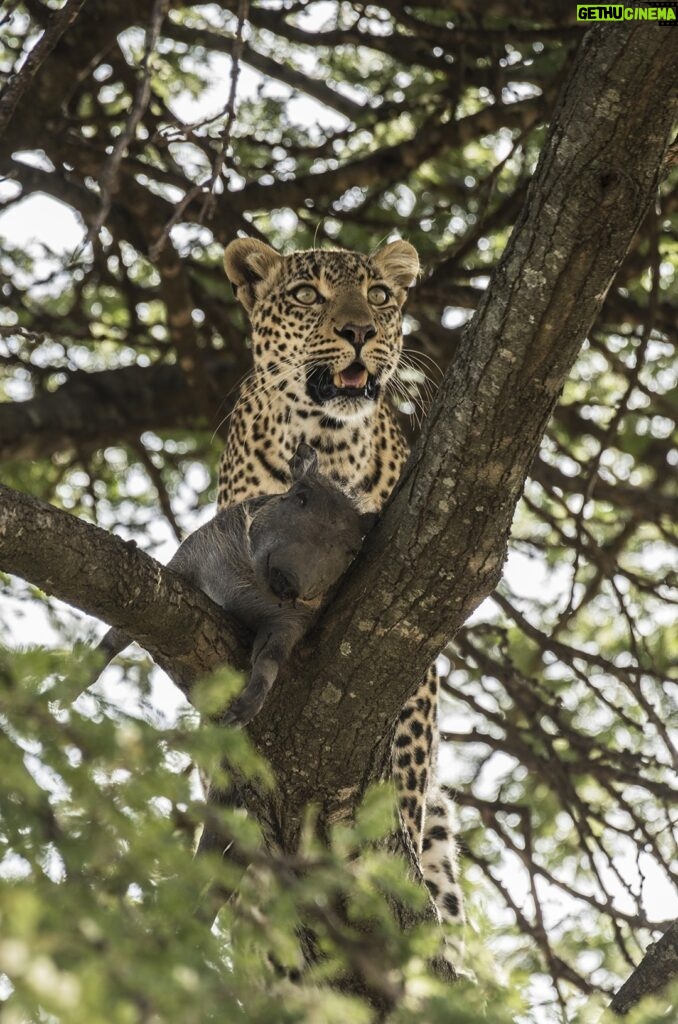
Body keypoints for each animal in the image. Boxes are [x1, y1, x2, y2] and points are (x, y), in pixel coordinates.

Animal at [220, 237, 464, 950]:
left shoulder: (410, 651)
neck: (327, 441)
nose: (360, 331)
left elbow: (404, 763)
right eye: (308, 295)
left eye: (379, 296)